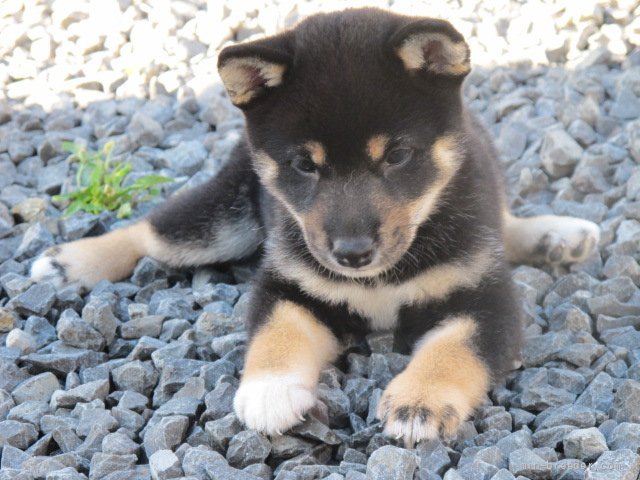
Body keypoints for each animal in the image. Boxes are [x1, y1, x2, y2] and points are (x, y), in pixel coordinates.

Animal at [31, 7, 600, 446]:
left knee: (503, 221)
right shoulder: (290, 282)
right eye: (305, 164)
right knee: (153, 231)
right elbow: (279, 331)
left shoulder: (486, 297)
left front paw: (419, 400)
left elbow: (453, 349)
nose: (352, 253)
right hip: (223, 221)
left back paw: (558, 236)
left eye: (397, 155)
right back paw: (67, 262)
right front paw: (270, 390)